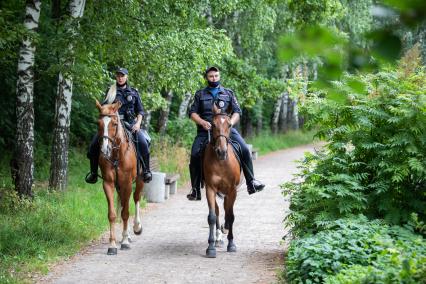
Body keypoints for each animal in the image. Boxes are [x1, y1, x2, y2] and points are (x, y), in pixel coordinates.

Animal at [95, 100, 144, 255]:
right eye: (98, 123)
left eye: (115, 124)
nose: (105, 150)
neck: (117, 155)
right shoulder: (108, 183)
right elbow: (112, 213)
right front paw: (112, 244)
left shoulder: (127, 184)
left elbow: (126, 213)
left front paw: (124, 242)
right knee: (122, 203)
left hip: (140, 181)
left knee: (136, 198)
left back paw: (136, 228)